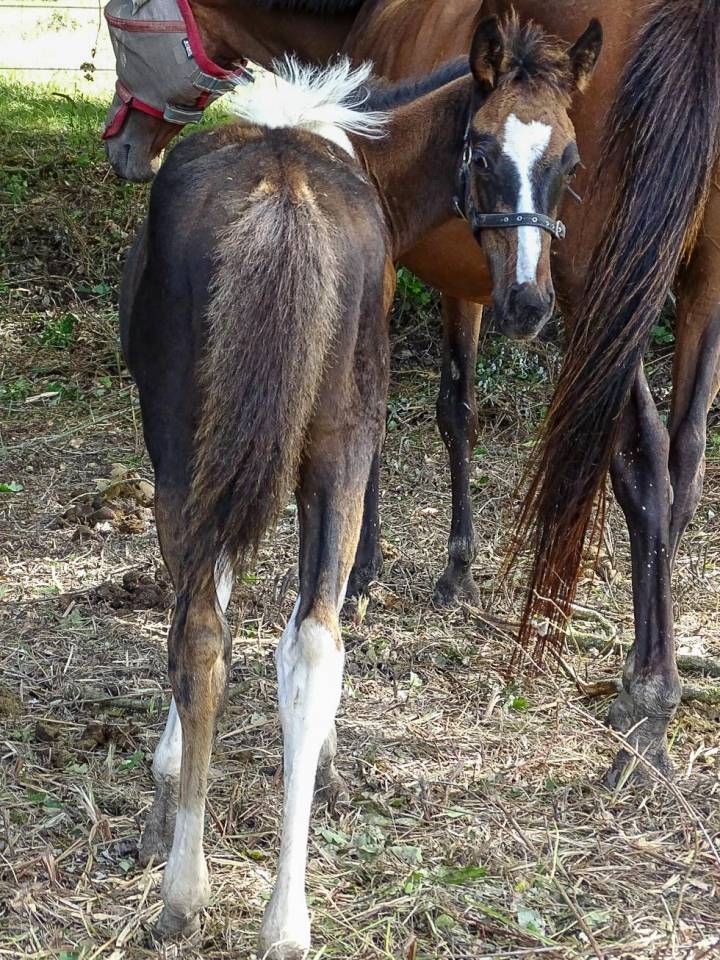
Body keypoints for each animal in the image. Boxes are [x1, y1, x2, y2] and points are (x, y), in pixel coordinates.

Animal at [121, 18, 598, 954]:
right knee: (302, 640)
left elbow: (222, 606)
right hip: (304, 443)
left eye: (566, 157)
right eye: (483, 150)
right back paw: (260, 912)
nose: (527, 305)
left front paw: (169, 785)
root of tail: (287, 194)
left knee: (222, 633)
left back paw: (210, 900)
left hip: (201, 447)